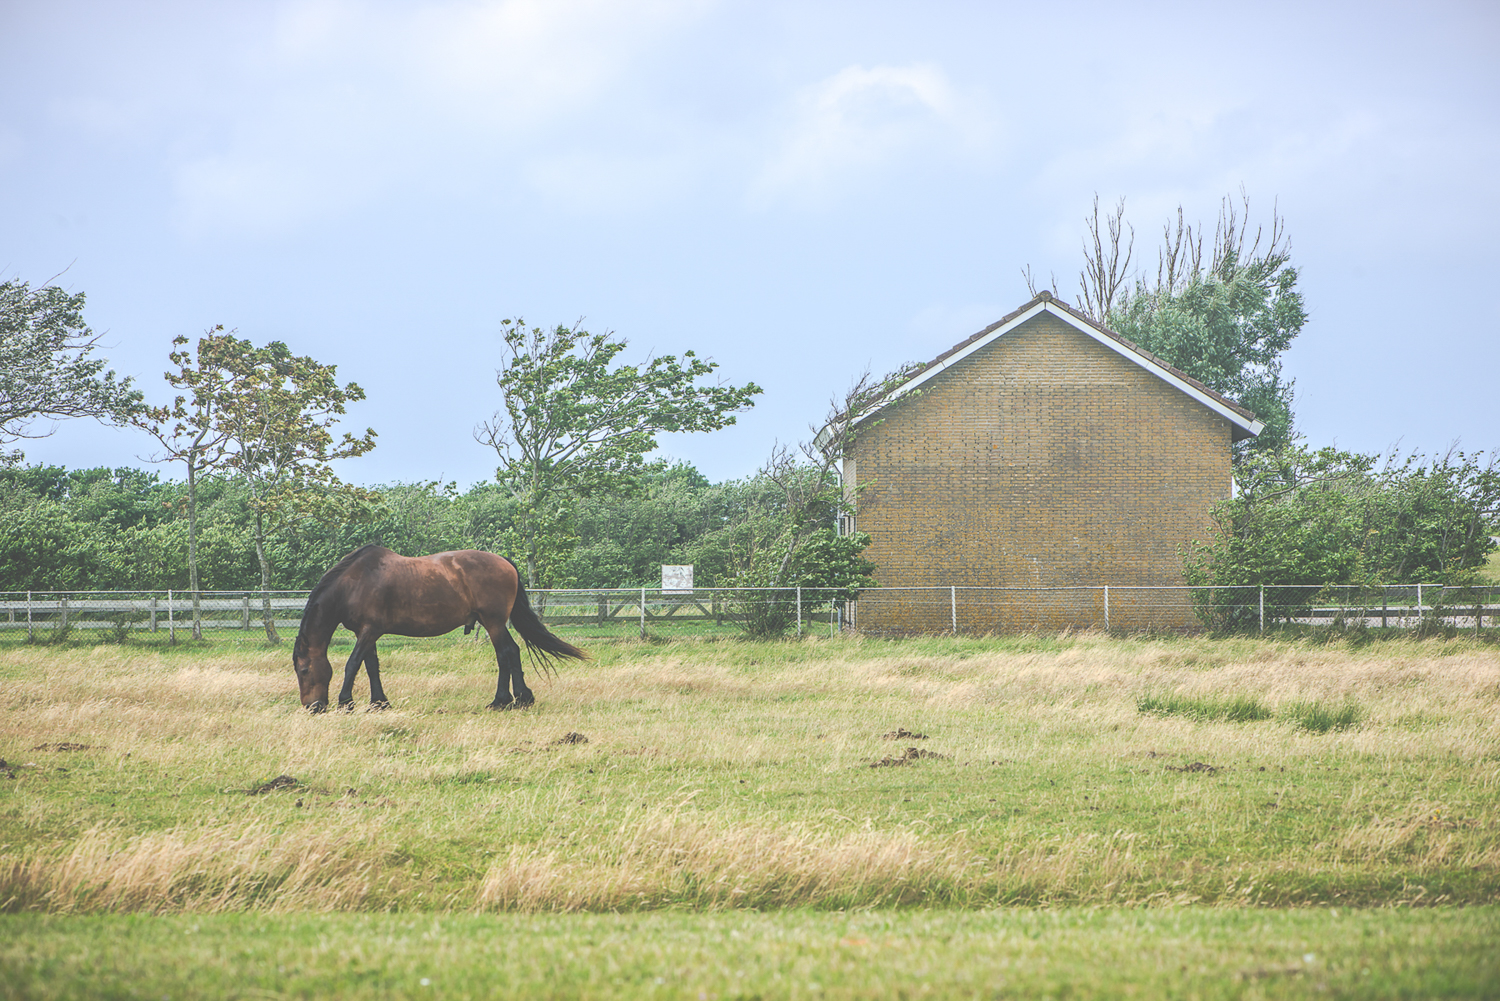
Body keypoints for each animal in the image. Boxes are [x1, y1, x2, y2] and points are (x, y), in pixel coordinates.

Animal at [292, 545, 586, 712]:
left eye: (304, 670)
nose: (312, 707)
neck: (355, 583)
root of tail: (505, 562)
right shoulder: (367, 633)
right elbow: (371, 666)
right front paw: (379, 703)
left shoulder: (369, 631)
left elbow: (353, 664)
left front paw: (346, 702)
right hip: (493, 622)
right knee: (511, 652)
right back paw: (519, 699)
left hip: (493, 622)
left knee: (506, 653)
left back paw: (503, 701)